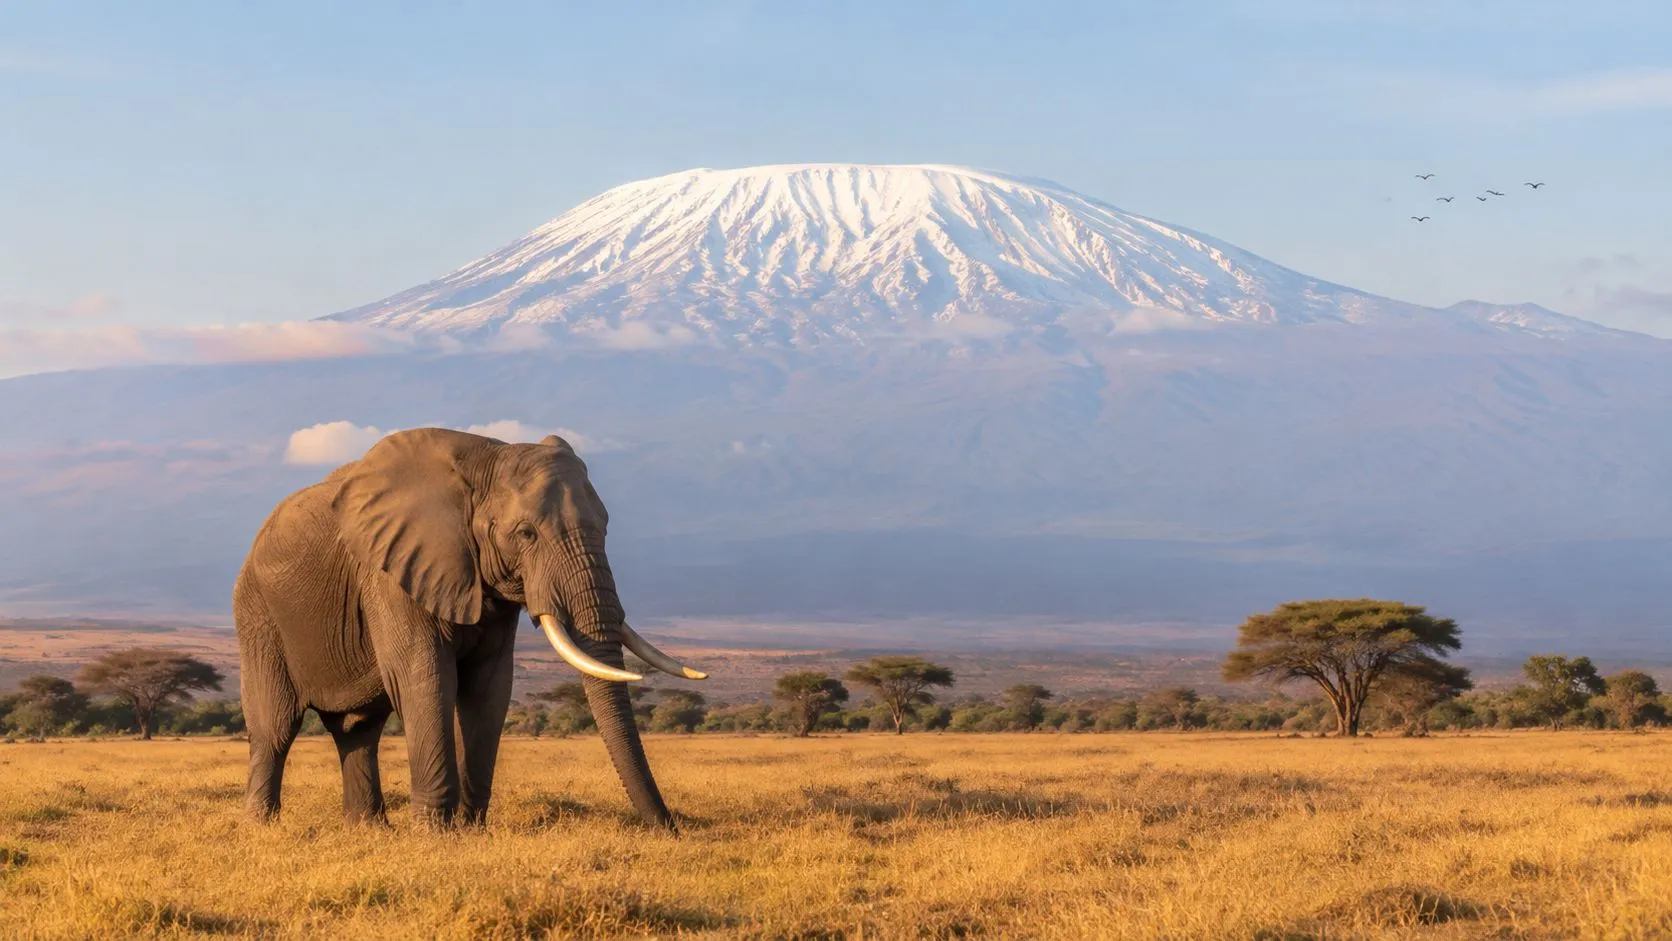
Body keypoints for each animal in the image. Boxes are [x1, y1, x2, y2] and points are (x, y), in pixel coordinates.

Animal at [232, 427, 705, 830]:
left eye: (606, 527)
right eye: (526, 534)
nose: (670, 828)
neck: (485, 459)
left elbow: (489, 686)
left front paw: (470, 830)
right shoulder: (391, 572)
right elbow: (425, 678)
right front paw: (434, 835)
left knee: (358, 730)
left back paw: (368, 830)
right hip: (257, 616)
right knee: (275, 728)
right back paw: (261, 829)